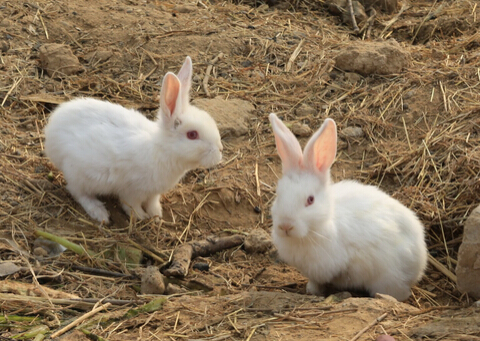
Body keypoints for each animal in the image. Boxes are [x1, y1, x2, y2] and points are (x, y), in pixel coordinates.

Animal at [44, 57, 222, 223]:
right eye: (192, 135)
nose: (219, 151)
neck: (161, 149)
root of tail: (52, 129)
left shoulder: (153, 193)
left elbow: (152, 203)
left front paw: (157, 216)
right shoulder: (132, 191)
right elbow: (131, 205)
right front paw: (141, 217)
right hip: (79, 174)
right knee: (77, 192)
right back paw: (100, 213)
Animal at [268, 113, 430, 300]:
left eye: (310, 200)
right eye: (278, 195)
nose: (285, 226)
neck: (317, 229)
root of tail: (420, 262)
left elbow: (319, 281)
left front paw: (314, 291)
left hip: (388, 278)